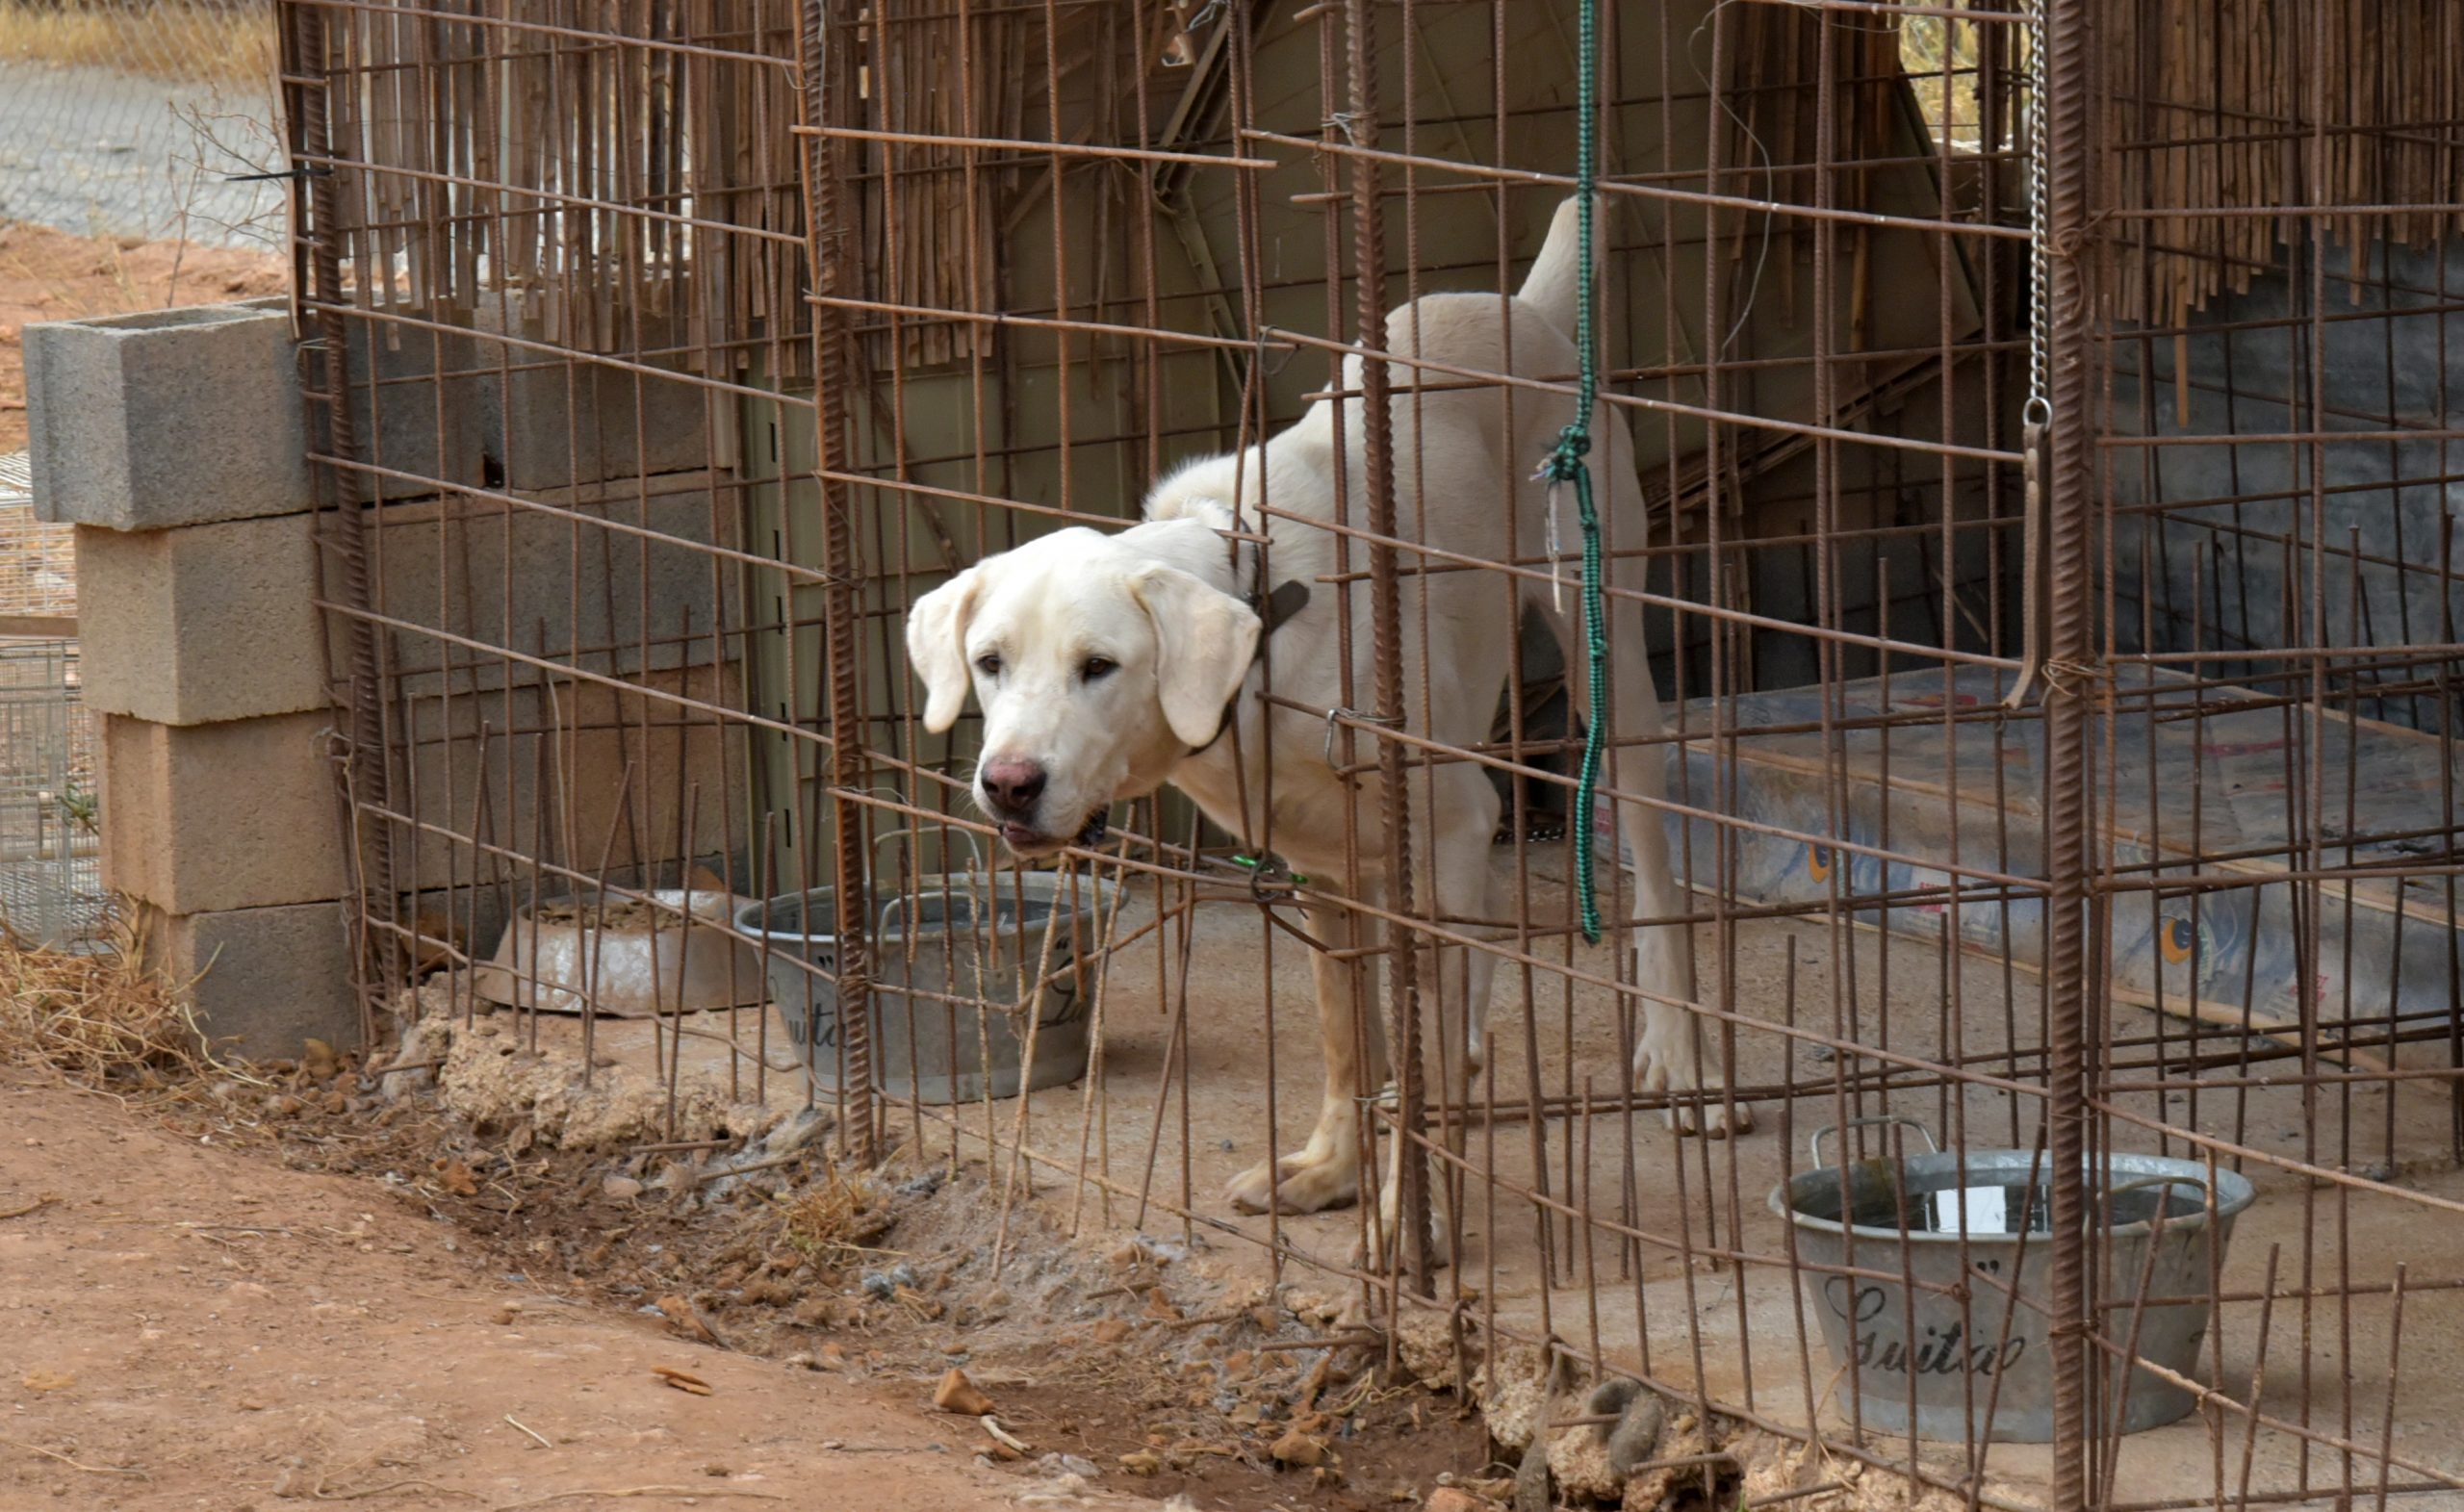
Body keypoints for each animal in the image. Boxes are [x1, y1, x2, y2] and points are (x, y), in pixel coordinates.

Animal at [911, 195, 1754, 1261]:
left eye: (1099, 667)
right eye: (988, 661)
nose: (1008, 783)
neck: (1265, 633)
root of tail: (1520, 305)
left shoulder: (1435, 830)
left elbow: (1418, 1047)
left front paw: (1408, 1221)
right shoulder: (1328, 865)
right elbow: (1349, 1037)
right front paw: (1333, 1171)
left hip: (1609, 650)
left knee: (1645, 861)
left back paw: (1684, 1063)